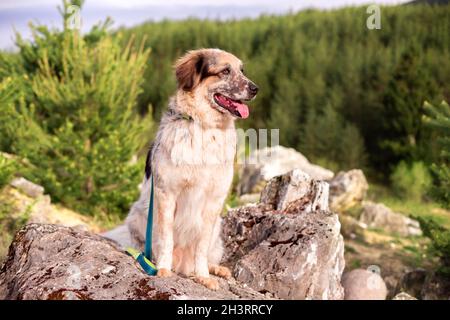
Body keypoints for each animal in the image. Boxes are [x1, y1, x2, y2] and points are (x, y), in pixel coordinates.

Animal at [102, 48, 256, 290]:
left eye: (242, 70)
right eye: (224, 71)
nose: (255, 88)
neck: (205, 127)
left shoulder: (214, 200)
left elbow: (201, 247)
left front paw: (203, 276)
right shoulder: (167, 194)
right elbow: (166, 238)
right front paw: (163, 270)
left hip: (217, 229)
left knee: (208, 255)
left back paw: (216, 269)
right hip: (137, 215)